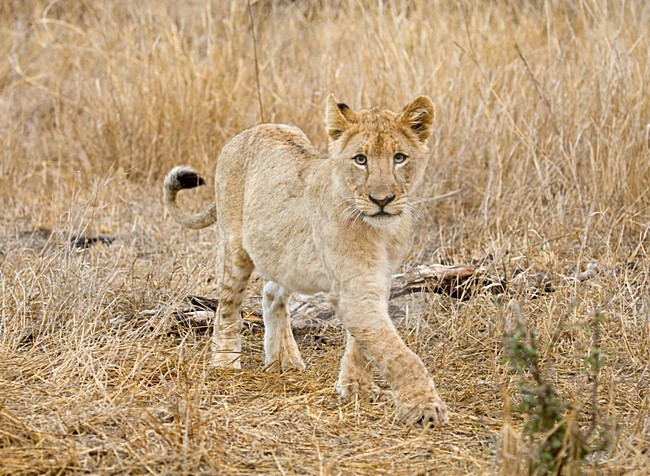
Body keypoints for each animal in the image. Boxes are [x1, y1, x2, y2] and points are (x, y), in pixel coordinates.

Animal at [163, 95, 449, 426]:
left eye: (399, 158)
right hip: (235, 247)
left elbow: (364, 342)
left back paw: (284, 358)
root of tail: (248, 131)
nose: (382, 200)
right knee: (228, 305)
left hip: (282, 254)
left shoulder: (378, 279)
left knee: (271, 292)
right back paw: (225, 361)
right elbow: (394, 350)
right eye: (360, 159)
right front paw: (425, 406)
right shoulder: (353, 288)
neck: (381, 230)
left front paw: (356, 389)